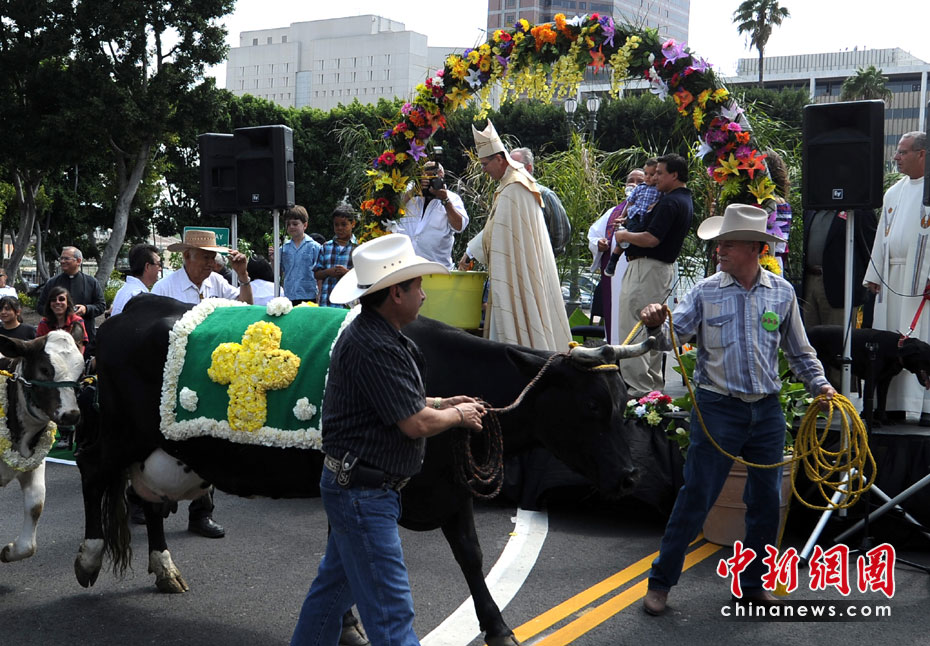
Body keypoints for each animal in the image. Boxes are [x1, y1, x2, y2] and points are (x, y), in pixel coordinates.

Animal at [0, 329, 85, 563]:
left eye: (81, 373)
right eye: (45, 369)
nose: (71, 414)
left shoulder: (35, 463)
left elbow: (36, 504)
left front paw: (12, 550)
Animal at [74, 296, 651, 646]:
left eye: (625, 401)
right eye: (591, 406)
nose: (630, 476)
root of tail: (134, 308)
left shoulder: (449, 489)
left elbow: (470, 555)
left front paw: (498, 627)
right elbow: (351, 557)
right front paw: (351, 627)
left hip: (160, 449)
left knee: (147, 498)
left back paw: (165, 569)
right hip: (122, 433)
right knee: (91, 466)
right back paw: (89, 555)